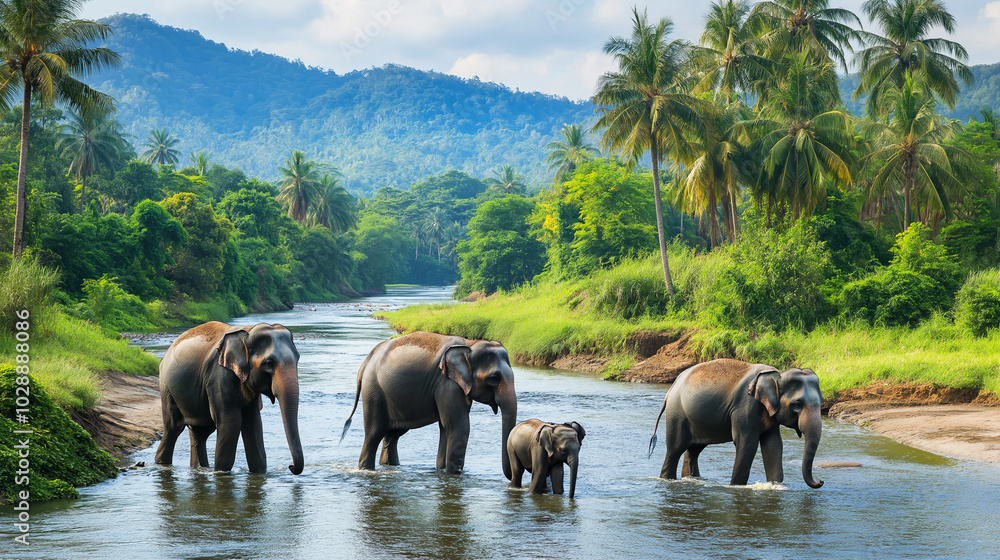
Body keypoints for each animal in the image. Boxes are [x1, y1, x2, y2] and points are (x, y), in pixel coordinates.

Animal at [154, 322, 304, 475]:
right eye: (268, 363)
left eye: (297, 359)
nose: (291, 467)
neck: (247, 332)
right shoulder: (219, 376)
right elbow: (231, 421)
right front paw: (221, 473)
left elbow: (253, 423)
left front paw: (258, 473)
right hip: (166, 386)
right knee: (174, 427)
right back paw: (162, 464)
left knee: (200, 433)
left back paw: (199, 468)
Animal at [341, 331, 517, 477]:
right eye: (493, 379)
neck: (470, 344)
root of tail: (366, 361)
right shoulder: (448, 384)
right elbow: (458, 426)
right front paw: (453, 474)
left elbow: (445, 427)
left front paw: (442, 470)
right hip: (374, 391)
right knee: (374, 434)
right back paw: (366, 470)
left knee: (393, 434)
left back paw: (391, 466)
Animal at [648, 358, 824, 488]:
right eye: (797, 404)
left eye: (822, 403)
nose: (820, 481)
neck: (778, 374)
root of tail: (672, 386)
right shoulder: (745, 406)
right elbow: (747, 443)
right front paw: (736, 486)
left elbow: (773, 445)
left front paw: (774, 485)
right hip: (677, 413)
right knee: (675, 449)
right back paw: (667, 479)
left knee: (693, 450)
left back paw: (692, 479)